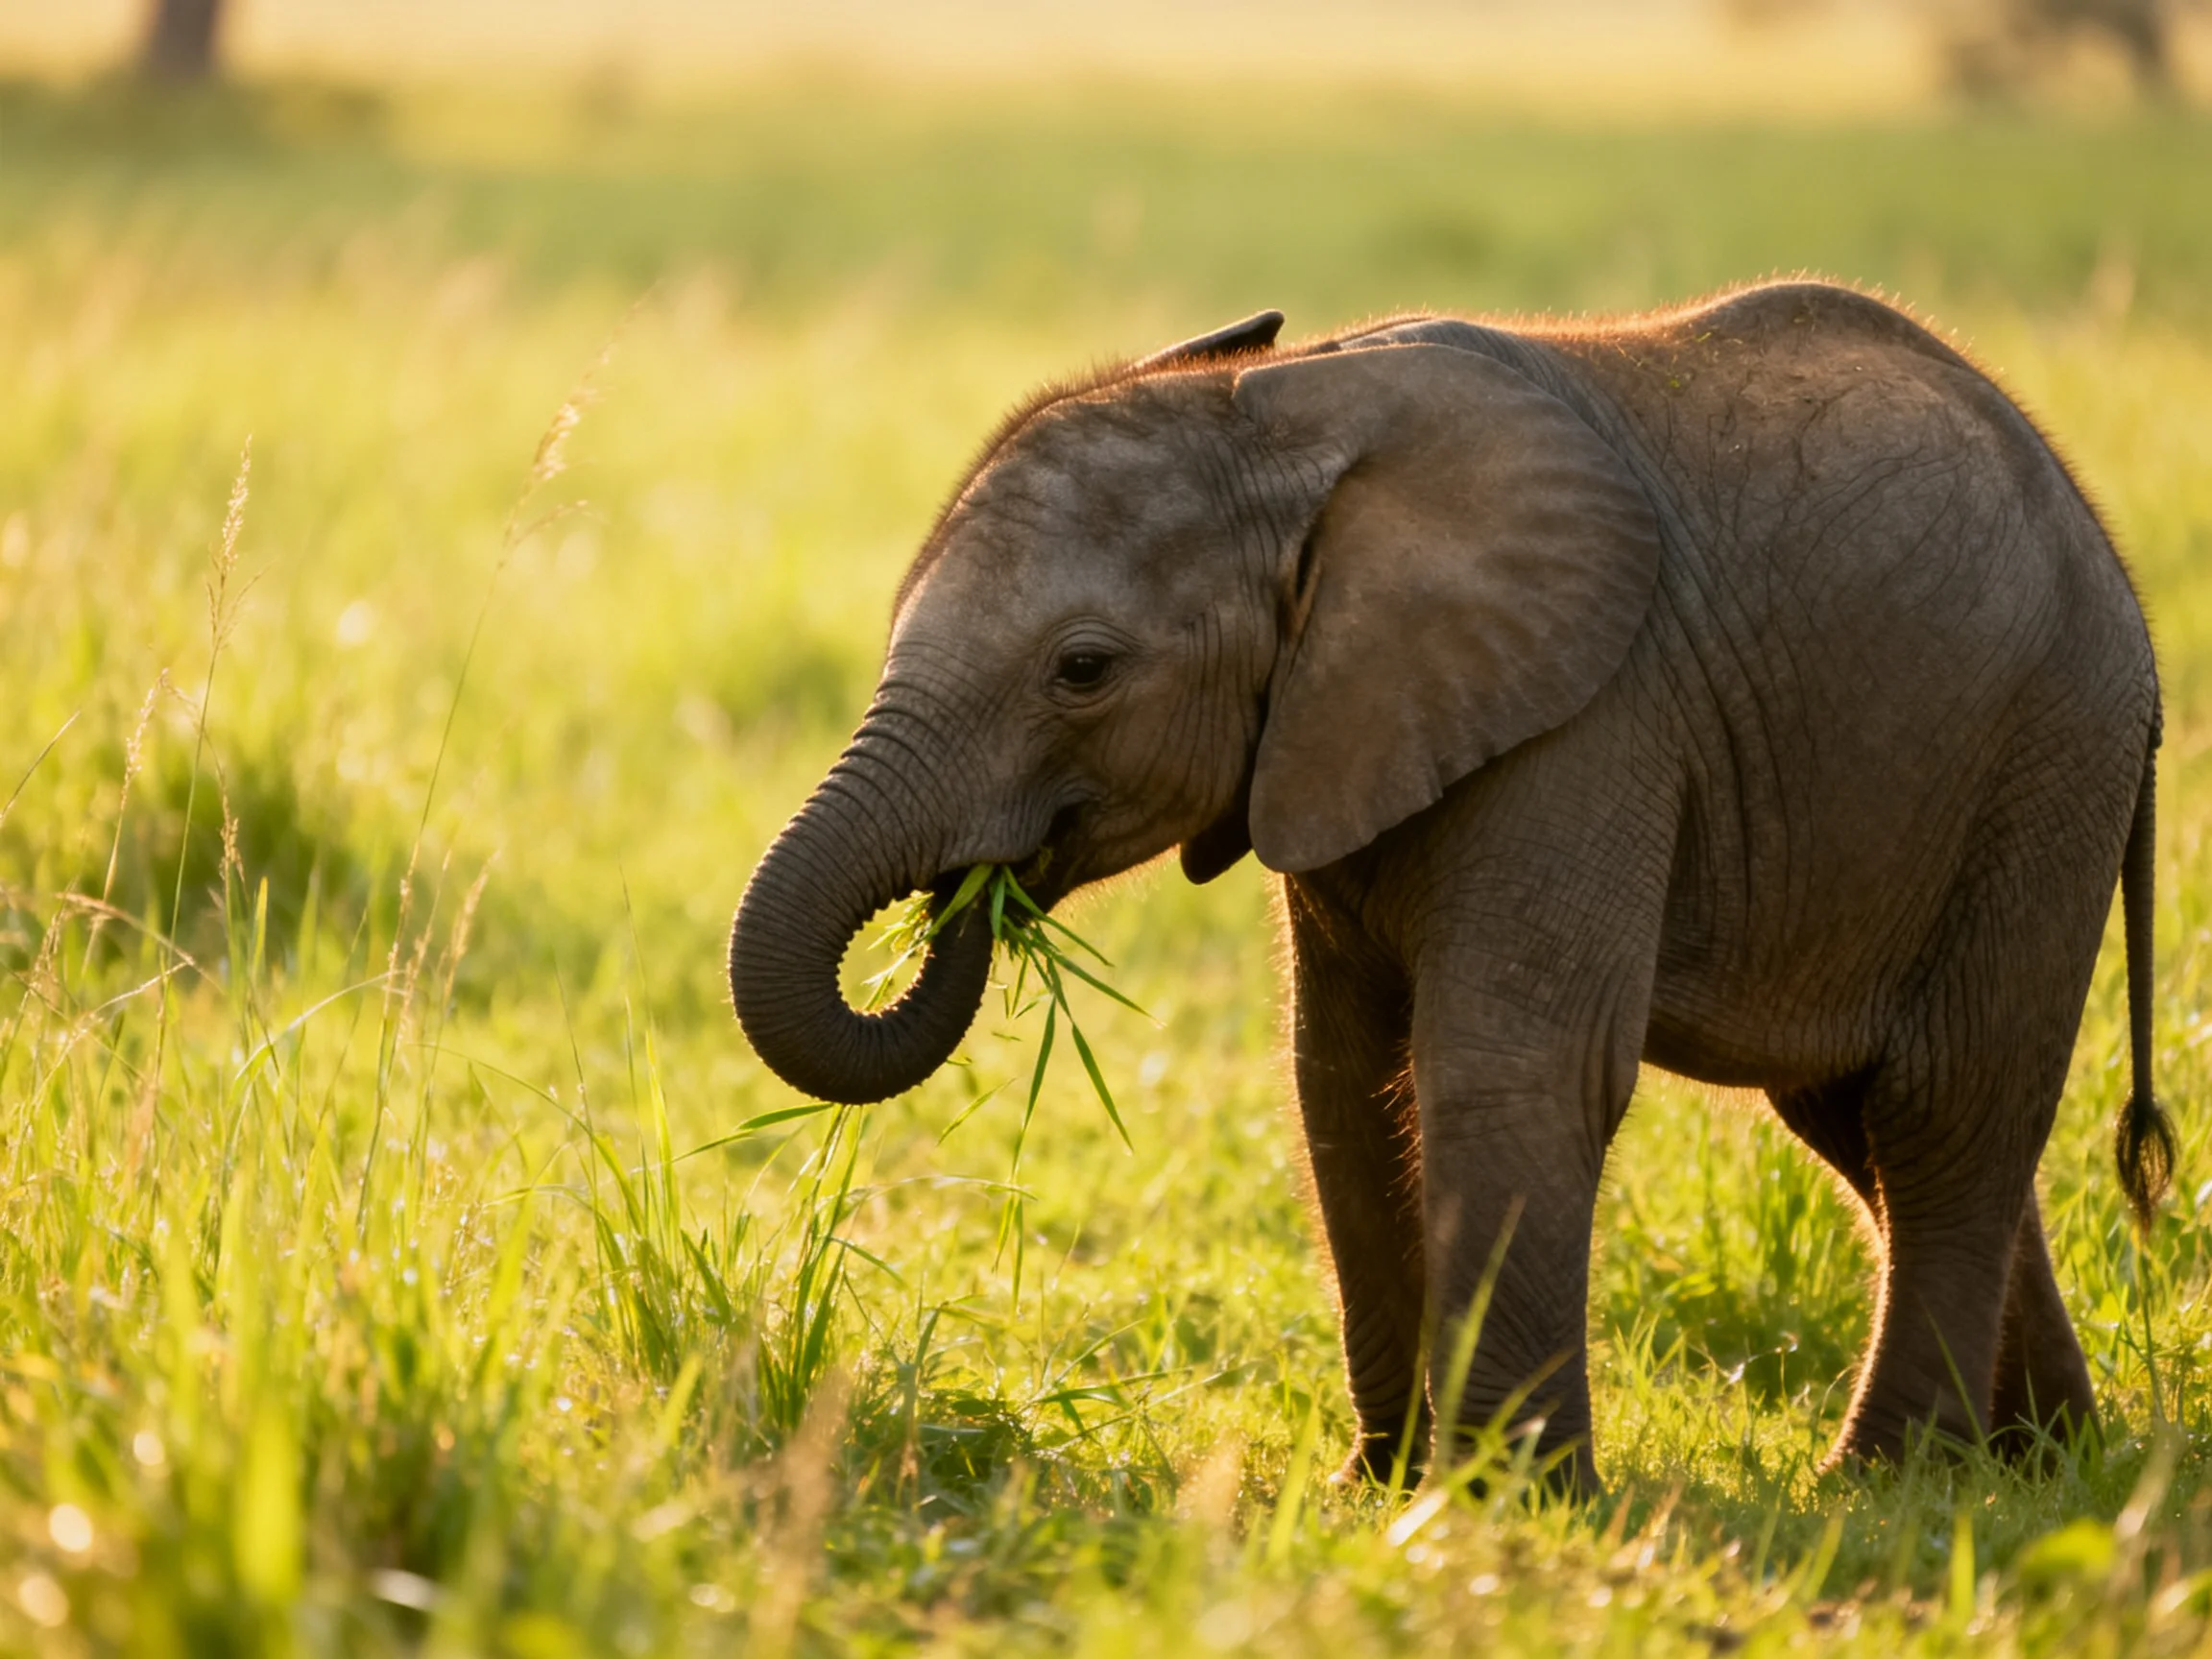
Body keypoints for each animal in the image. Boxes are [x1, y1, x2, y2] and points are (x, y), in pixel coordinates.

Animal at [728, 282, 2171, 1492]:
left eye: (1082, 670)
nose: (974, 894)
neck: (1285, 416)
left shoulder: (1592, 714)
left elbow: (1504, 1068)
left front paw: (1506, 1510)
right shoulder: (1338, 727)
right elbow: (1342, 1083)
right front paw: (1377, 1489)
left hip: (2048, 760)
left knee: (1940, 1104)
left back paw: (1878, 1480)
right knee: (1856, 1115)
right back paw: (2049, 1463)